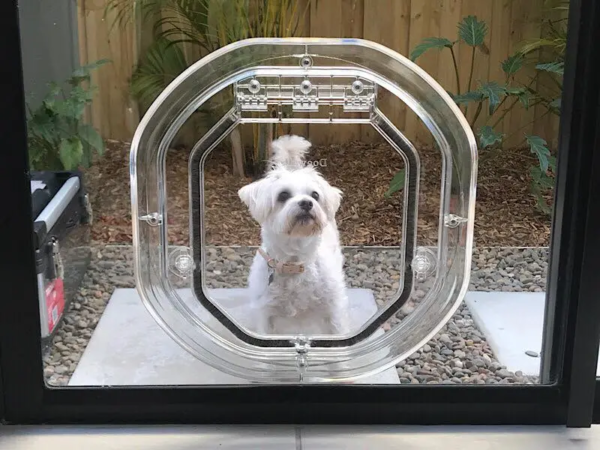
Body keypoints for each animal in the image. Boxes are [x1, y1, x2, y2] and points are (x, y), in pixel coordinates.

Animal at [238, 134, 352, 338]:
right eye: (283, 195)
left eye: (315, 195)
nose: (307, 203)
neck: (295, 261)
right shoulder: (265, 315)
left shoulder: (334, 311)